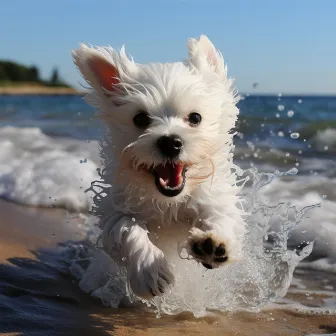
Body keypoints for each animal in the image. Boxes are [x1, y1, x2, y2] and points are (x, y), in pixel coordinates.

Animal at [72, 35, 245, 300]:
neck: (168, 203)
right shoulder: (116, 209)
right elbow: (127, 228)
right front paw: (148, 270)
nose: (170, 142)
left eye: (195, 118)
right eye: (140, 119)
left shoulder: (213, 197)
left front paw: (214, 244)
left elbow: (220, 216)